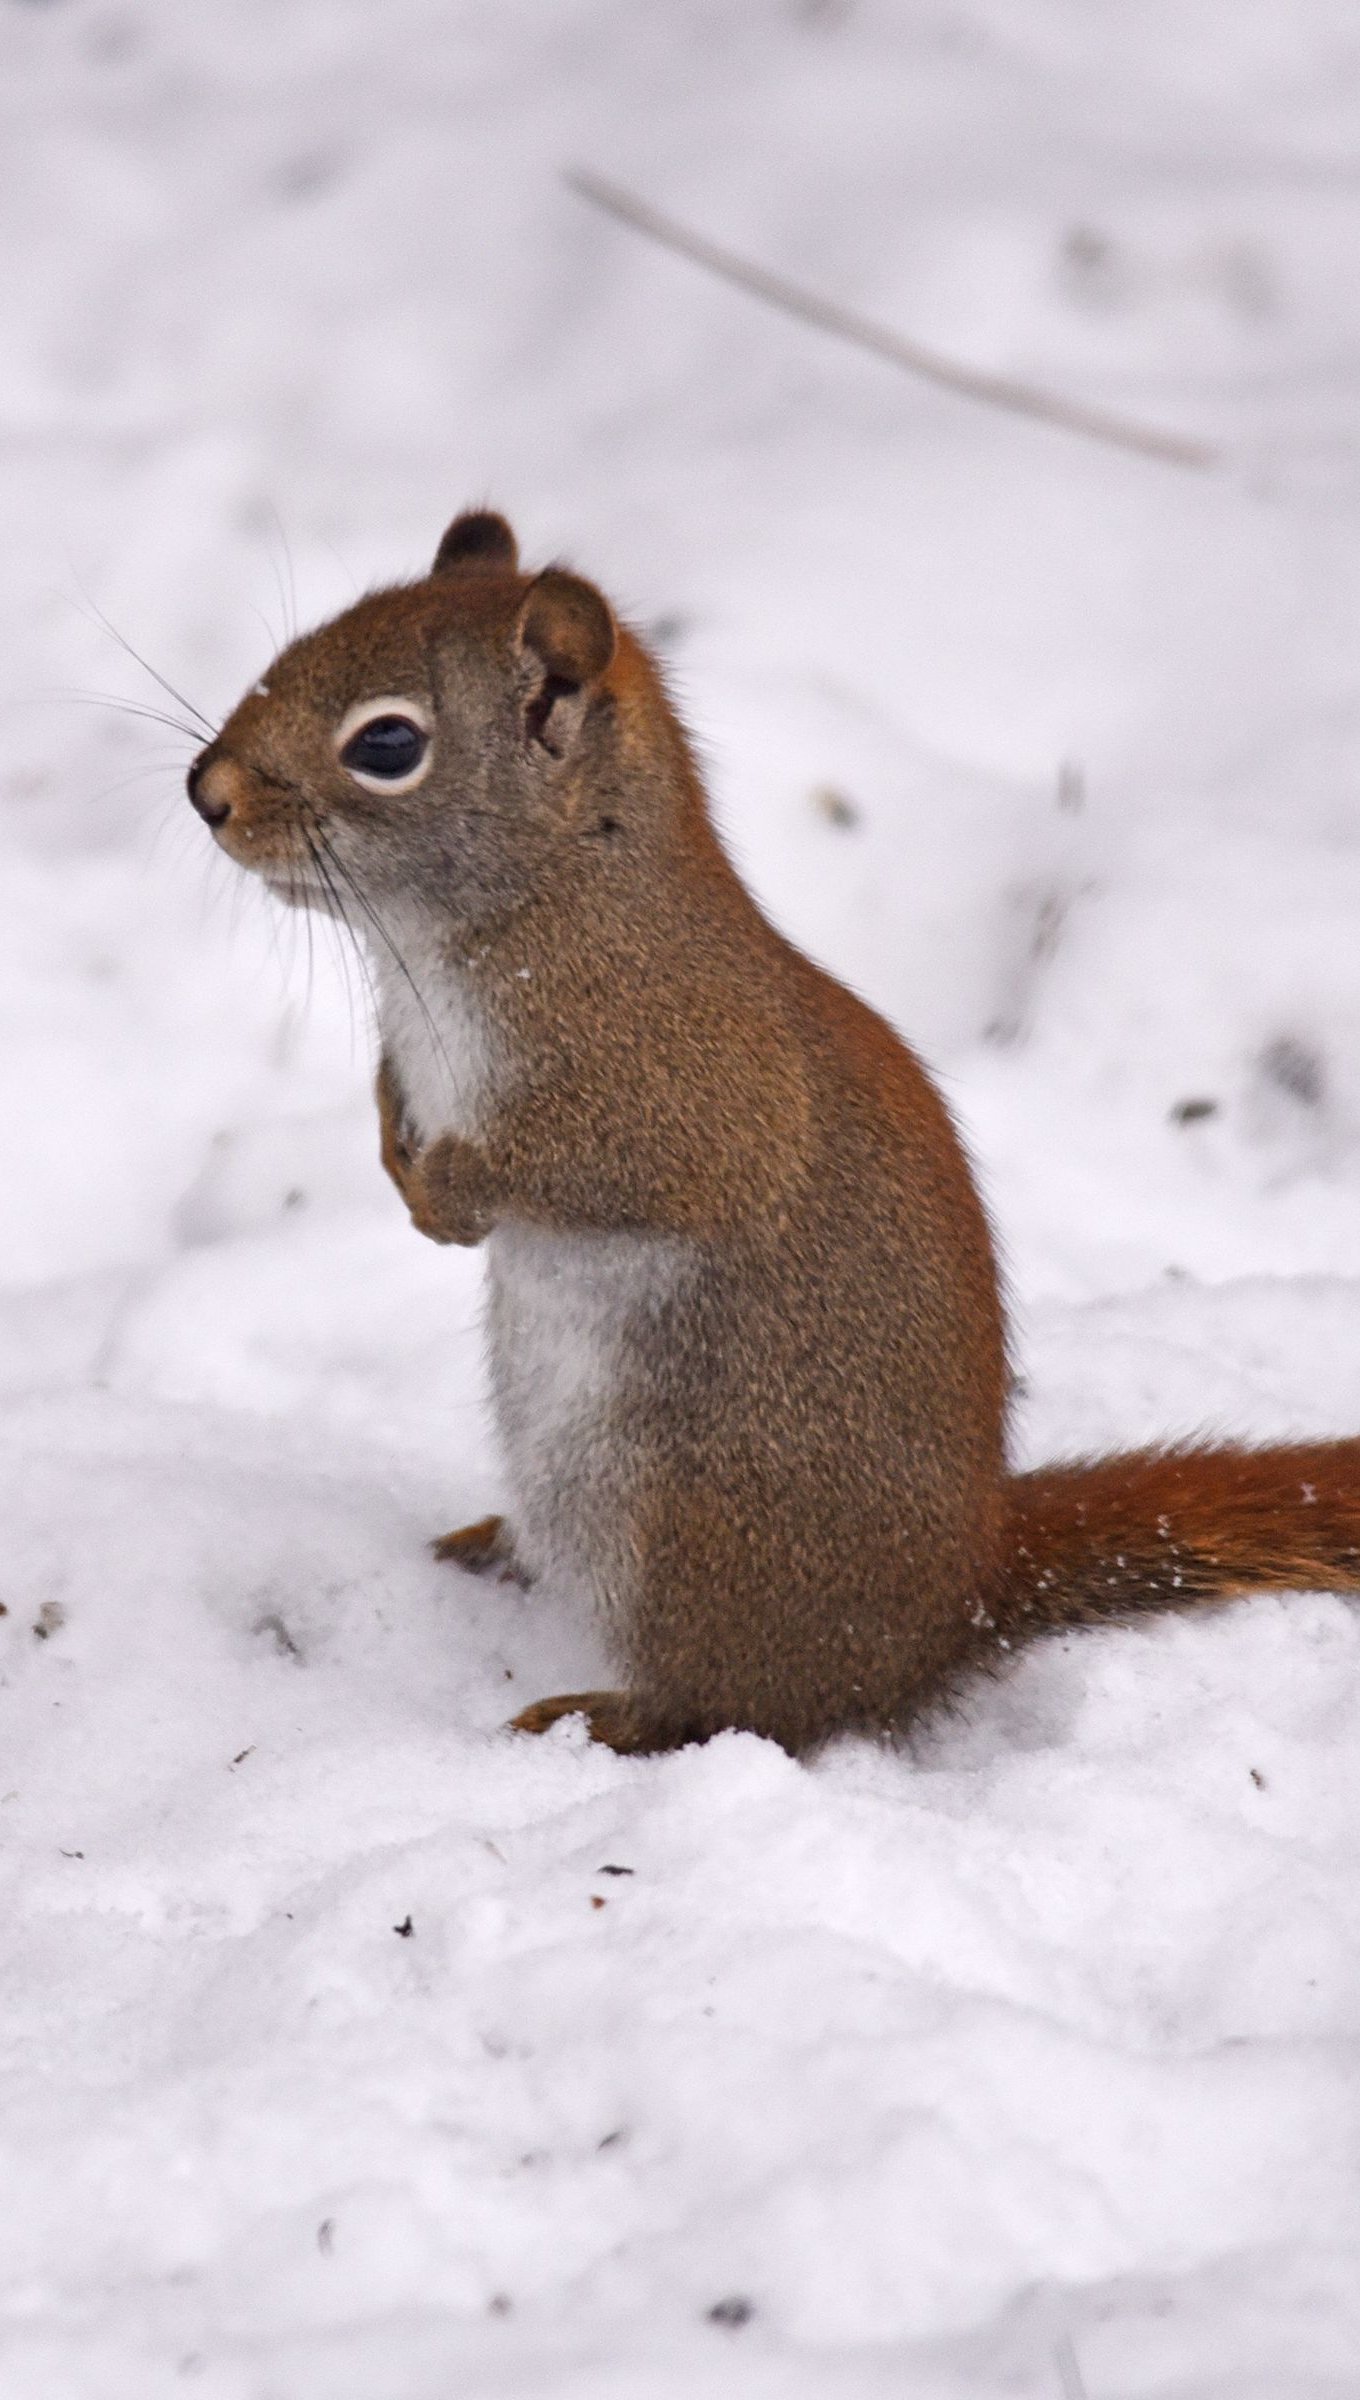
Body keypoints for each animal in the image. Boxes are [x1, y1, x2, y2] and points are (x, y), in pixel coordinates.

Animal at [185, 511, 1360, 1747]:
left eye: (387, 744)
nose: (204, 790)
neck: (500, 921)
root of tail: (953, 1611)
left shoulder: (687, 1088)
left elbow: (603, 1165)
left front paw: (453, 1194)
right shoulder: (408, 1057)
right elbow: (388, 1103)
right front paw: (403, 1174)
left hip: (689, 1528)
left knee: (747, 1704)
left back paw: (607, 1714)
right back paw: (492, 1548)